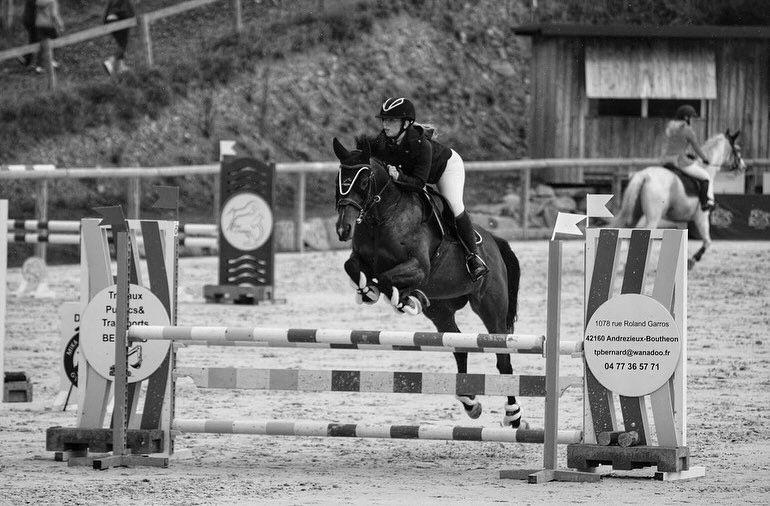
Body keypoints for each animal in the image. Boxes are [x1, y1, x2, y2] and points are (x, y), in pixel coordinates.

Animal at [332, 136, 524, 428]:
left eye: (364, 181)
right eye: (338, 179)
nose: (344, 229)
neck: (384, 215)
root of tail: (494, 241)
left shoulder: (419, 268)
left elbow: (386, 277)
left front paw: (401, 299)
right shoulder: (361, 259)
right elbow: (353, 266)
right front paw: (370, 291)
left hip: (491, 308)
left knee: (502, 359)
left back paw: (513, 415)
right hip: (441, 309)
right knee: (458, 346)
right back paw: (470, 402)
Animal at [608, 130, 740, 268]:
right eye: (737, 149)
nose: (742, 165)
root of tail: (644, 175)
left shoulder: (682, 221)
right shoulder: (701, 217)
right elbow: (707, 241)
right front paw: (692, 261)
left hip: (635, 214)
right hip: (653, 218)